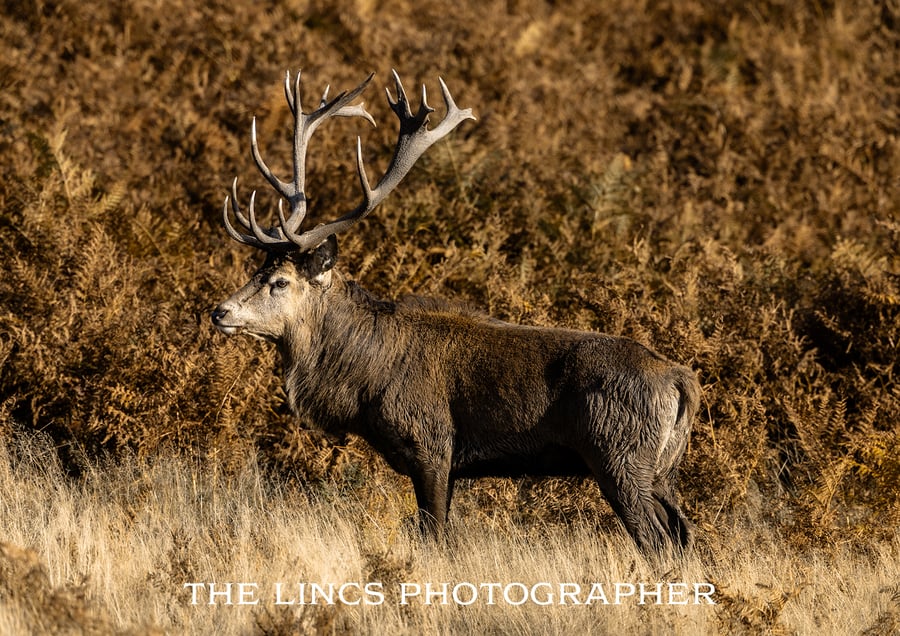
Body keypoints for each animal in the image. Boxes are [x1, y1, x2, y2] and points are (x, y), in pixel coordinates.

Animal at [210, 69, 700, 554]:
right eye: (256, 269)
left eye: (280, 281)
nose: (219, 311)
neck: (364, 377)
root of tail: (682, 382)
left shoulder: (431, 442)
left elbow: (435, 534)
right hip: (663, 471)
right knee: (684, 536)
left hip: (619, 455)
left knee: (657, 540)